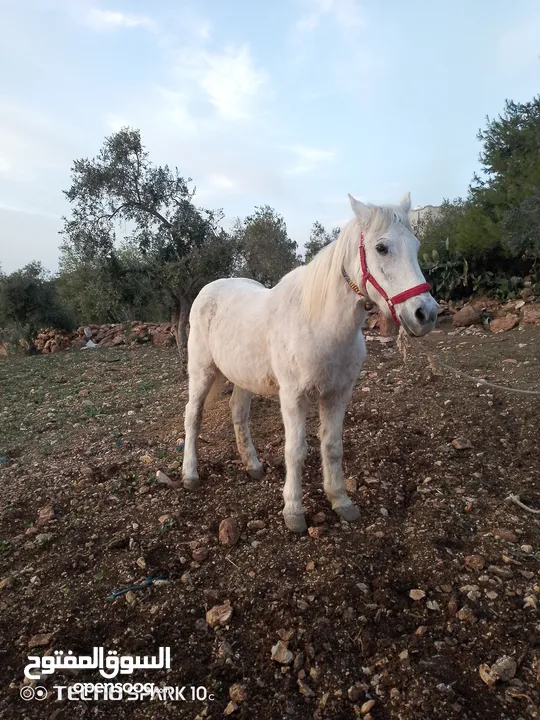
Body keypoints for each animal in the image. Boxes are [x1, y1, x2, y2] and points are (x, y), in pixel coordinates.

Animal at [181, 194, 438, 532]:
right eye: (381, 248)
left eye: (417, 245)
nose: (426, 314)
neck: (320, 324)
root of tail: (210, 289)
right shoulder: (293, 397)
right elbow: (296, 451)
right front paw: (293, 512)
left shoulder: (338, 394)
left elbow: (332, 446)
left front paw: (341, 501)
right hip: (201, 372)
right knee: (193, 416)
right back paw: (190, 474)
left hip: (243, 376)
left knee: (238, 412)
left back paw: (253, 465)